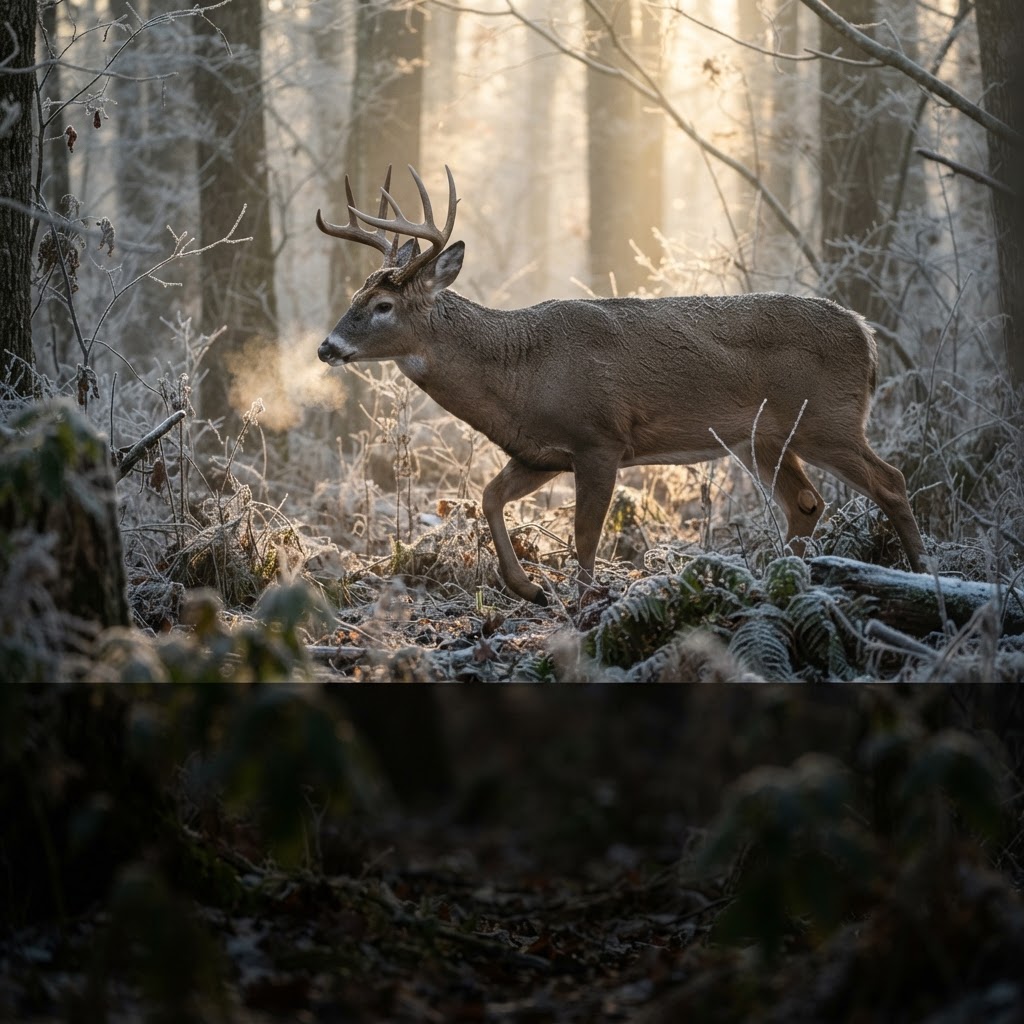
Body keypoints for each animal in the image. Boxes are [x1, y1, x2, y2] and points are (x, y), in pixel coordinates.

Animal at [316, 165, 927, 607]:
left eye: (382, 305)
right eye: (356, 295)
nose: (327, 347)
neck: (520, 371)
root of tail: (866, 335)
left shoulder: (600, 438)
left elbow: (586, 534)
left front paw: (581, 602)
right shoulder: (540, 452)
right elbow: (488, 496)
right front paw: (529, 589)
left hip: (826, 418)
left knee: (891, 480)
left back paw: (925, 577)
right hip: (766, 438)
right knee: (806, 502)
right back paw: (780, 579)